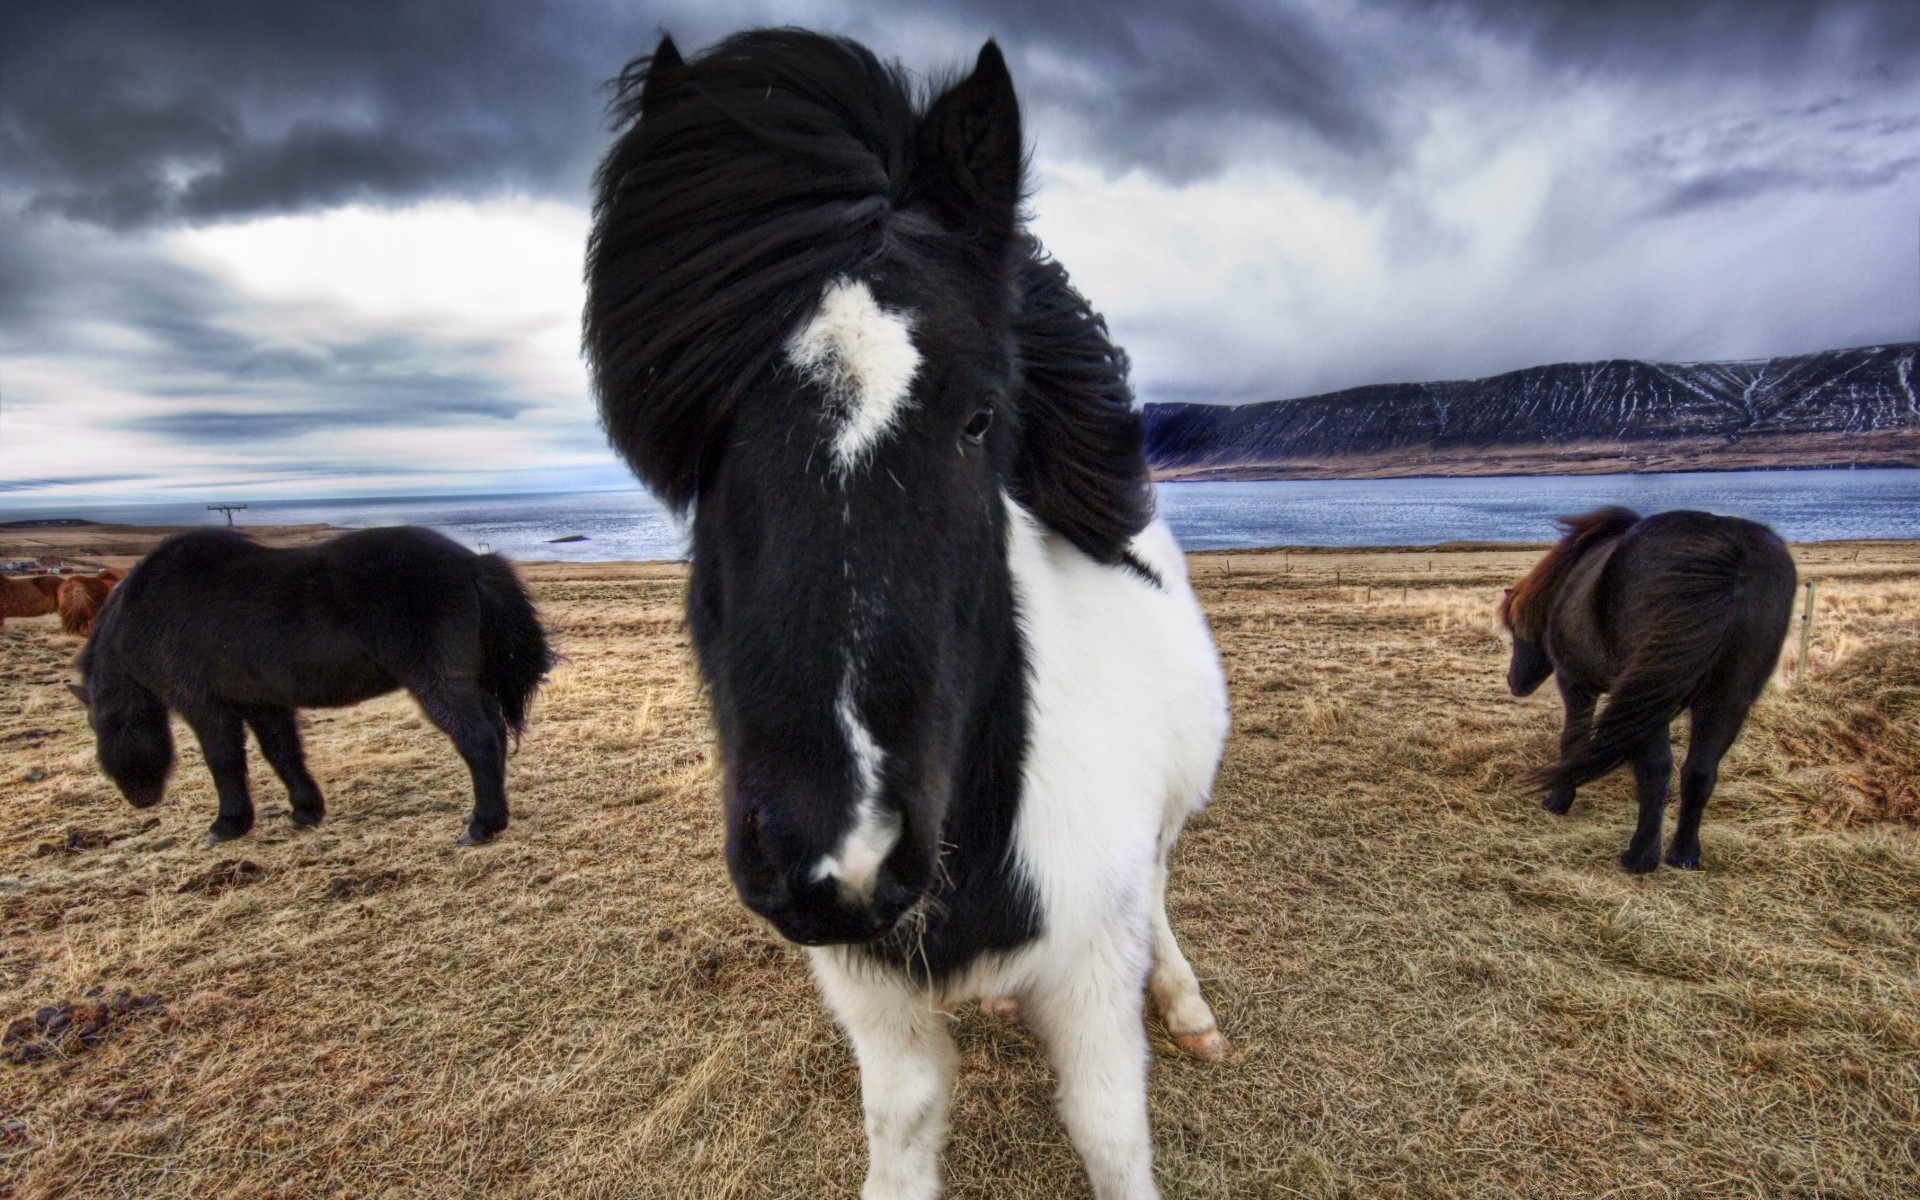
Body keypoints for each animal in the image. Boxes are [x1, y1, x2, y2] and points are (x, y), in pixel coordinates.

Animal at [72, 529, 552, 848]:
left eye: (104, 725)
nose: (140, 797)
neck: (142, 612)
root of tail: (471, 564)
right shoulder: (260, 701)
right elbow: (282, 752)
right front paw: (305, 810)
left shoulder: (205, 704)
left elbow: (223, 761)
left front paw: (227, 825)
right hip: (465, 681)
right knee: (494, 732)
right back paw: (493, 814)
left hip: (438, 683)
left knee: (477, 738)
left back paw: (481, 825)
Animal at [1497, 506, 1797, 871]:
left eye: (1514, 629)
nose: (1514, 683)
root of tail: (1733, 555)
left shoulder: (1575, 683)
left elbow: (1573, 740)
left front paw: (1558, 799)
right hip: (1723, 698)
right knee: (1700, 773)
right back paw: (1683, 855)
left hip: (1652, 696)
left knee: (1658, 769)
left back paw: (1639, 857)